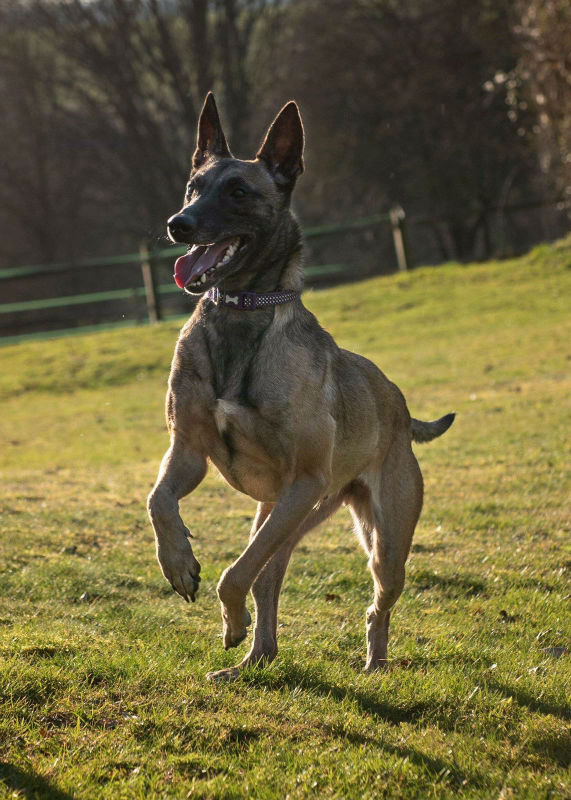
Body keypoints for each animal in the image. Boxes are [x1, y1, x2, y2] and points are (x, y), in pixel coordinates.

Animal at [147, 94, 456, 680]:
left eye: (238, 192)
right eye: (193, 186)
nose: (178, 223)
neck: (241, 314)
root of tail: (400, 405)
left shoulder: (304, 481)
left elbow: (233, 575)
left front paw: (229, 619)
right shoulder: (188, 450)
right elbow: (159, 502)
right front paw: (179, 566)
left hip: (374, 536)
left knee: (372, 599)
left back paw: (373, 661)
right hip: (284, 515)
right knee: (266, 577)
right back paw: (252, 661)